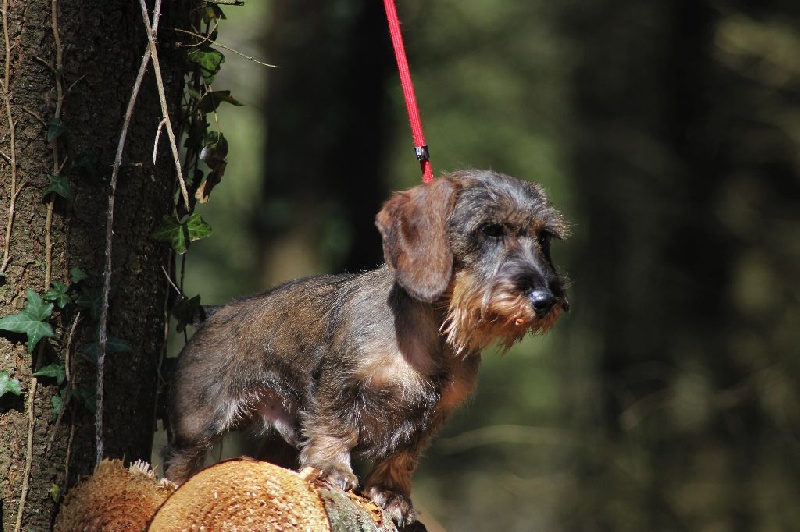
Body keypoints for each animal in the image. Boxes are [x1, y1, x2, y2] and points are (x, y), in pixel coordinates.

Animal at [166, 169, 568, 524]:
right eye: (490, 230)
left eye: (545, 237)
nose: (545, 299)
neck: (431, 334)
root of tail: (214, 312)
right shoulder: (341, 382)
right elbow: (335, 426)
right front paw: (332, 468)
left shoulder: (432, 415)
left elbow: (403, 455)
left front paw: (392, 495)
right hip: (197, 424)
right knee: (178, 464)